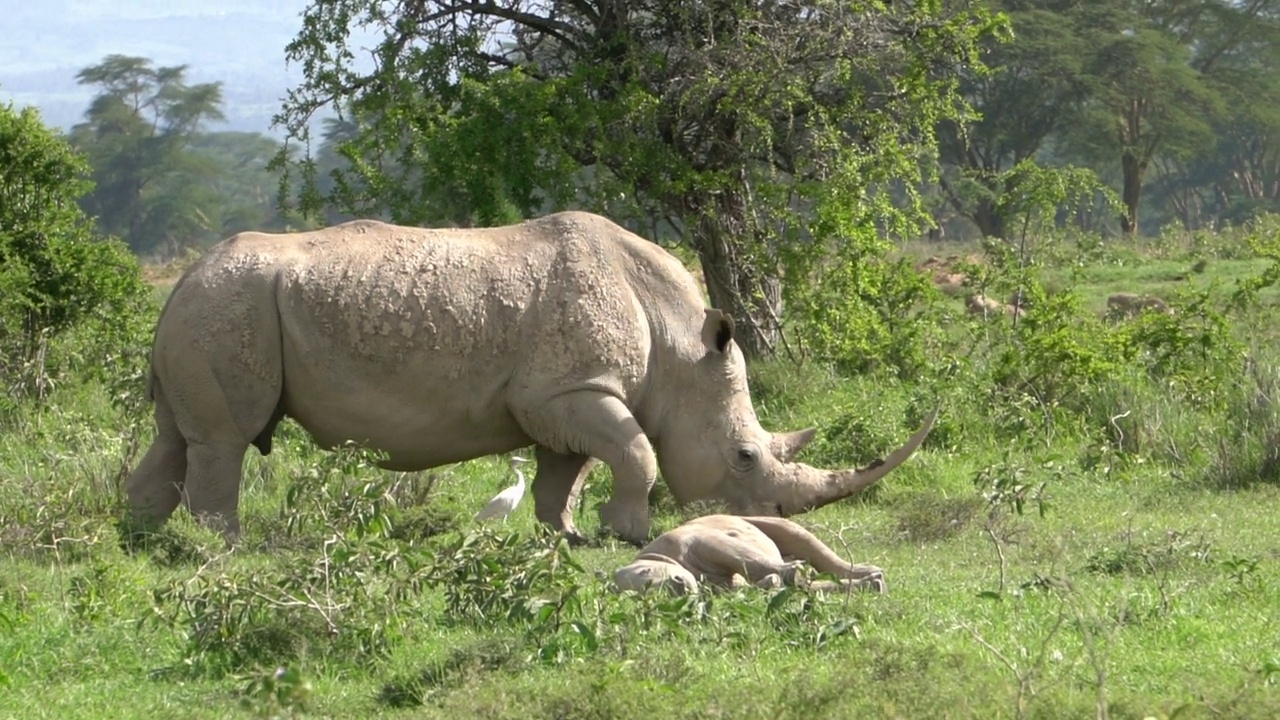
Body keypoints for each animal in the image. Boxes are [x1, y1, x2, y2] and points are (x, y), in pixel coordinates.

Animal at [124, 210, 936, 540]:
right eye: (743, 457)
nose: (767, 523)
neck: (678, 347)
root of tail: (182, 280)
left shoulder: (564, 396)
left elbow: (565, 472)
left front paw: (569, 535)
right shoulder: (571, 389)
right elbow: (636, 453)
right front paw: (630, 535)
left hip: (208, 310)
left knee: (176, 438)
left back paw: (143, 544)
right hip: (228, 306)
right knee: (224, 440)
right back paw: (229, 548)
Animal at [614, 512, 885, 591]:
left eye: (645, 572)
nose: (678, 585)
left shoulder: (695, 541)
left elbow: (743, 558)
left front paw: (789, 572)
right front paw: (773, 582)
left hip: (765, 521)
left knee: (808, 544)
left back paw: (869, 571)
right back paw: (872, 583)